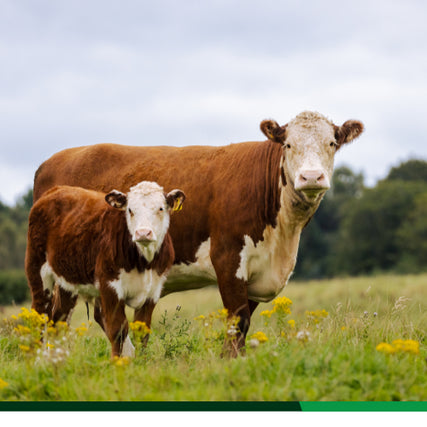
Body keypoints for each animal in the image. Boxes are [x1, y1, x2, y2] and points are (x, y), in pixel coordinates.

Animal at [25, 181, 186, 358]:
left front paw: (141, 361)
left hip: (67, 281)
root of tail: (56, 190)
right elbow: (118, 330)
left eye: (160, 208)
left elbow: (142, 332)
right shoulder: (109, 286)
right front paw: (116, 362)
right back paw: (34, 358)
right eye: (130, 210)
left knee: (58, 319)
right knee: (38, 315)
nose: (143, 233)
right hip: (38, 271)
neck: (144, 262)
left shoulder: (153, 291)